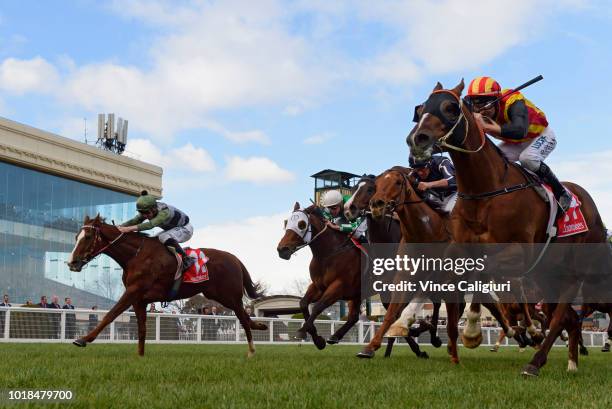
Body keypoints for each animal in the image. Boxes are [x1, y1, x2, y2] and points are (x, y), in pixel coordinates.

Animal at [67, 215, 268, 356]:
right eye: (76, 236)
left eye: (88, 237)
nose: (72, 262)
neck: (136, 255)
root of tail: (234, 258)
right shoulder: (139, 300)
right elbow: (141, 329)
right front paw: (140, 356)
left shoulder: (133, 291)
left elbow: (110, 314)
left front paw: (83, 339)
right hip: (219, 295)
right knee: (245, 316)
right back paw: (260, 327)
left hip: (228, 296)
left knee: (243, 318)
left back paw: (252, 350)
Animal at [404, 78, 608, 374]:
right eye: (419, 110)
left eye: (451, 108)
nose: (417, 140)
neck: (486, 189)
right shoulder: (460, 247)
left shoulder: (518, 252)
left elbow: (484, 274)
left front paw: (473, 331)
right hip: (548, 273)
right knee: (569, 318)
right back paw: (570, 362)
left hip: (573, 271)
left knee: (560, 316)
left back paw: (535, 361)